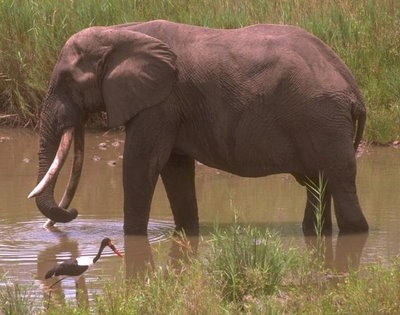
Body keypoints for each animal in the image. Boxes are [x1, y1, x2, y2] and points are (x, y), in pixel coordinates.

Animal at [28, 19, 368, 236]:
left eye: (67, 80)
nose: (73, 214)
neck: (118, 31)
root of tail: (353, 89)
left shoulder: (160, 102)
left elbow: (141, 164)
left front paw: (133, 236)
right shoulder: (169, 107)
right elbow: (175, 169)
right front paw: (188, 233)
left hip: (323, 120)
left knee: (340, 183)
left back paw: (355, 232)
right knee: (318, 185)